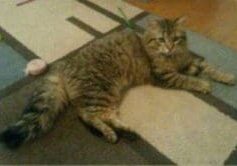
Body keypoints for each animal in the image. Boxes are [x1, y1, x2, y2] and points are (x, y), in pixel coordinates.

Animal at [0, 16, 235, 148]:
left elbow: (209, 68)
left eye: (175, 39)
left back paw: (126, 131)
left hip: (107, 96)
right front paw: (203, 85)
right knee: (89, 116)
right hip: (101, 92)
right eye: (161, 39)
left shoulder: (189, 61)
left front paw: (227, 77)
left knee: (102, 116)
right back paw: (113, 133)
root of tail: (64, 65)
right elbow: (188, 79)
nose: (169, 47)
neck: (172, 58)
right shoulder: (165, 76)